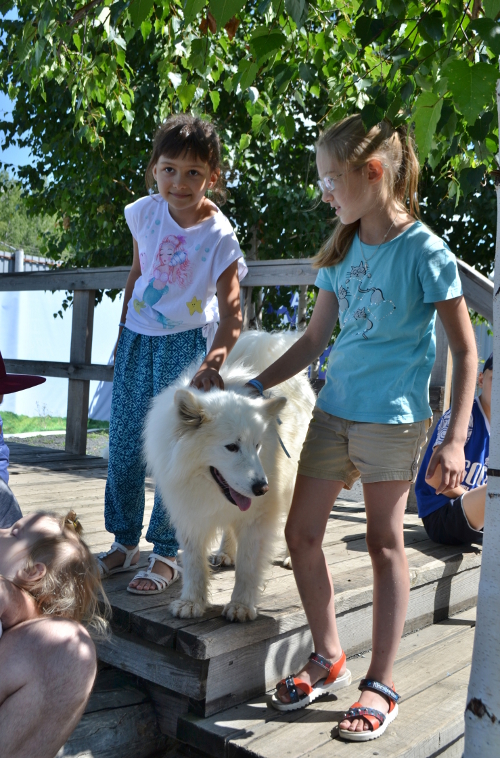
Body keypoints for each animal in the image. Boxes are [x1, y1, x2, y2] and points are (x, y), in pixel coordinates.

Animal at [144, 332, 312, 624]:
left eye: (257, 446)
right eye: (231, 447)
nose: (262, 488)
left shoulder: (258, 517)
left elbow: (248, 566)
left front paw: (241, 606)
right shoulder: (190, 514)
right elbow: (194, 563)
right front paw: (191, 602)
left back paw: (291, 557)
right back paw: (225, 553)